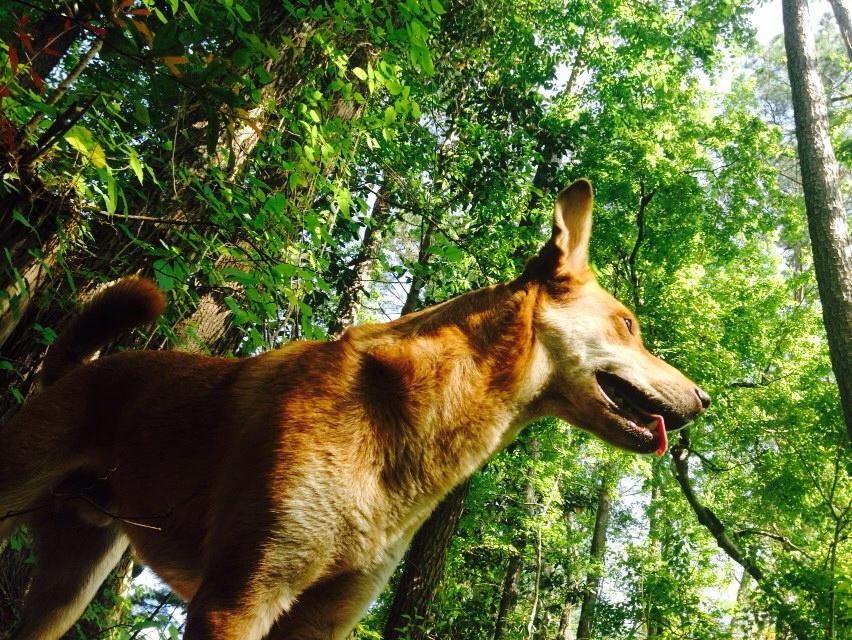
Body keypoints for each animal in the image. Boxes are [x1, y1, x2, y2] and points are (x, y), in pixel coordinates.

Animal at [0, 180, 704, 640]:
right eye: (629, 325)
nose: (702, 399)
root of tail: (79, 369)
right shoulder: (237, 598)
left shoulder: (321, 620)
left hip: (69, 586)